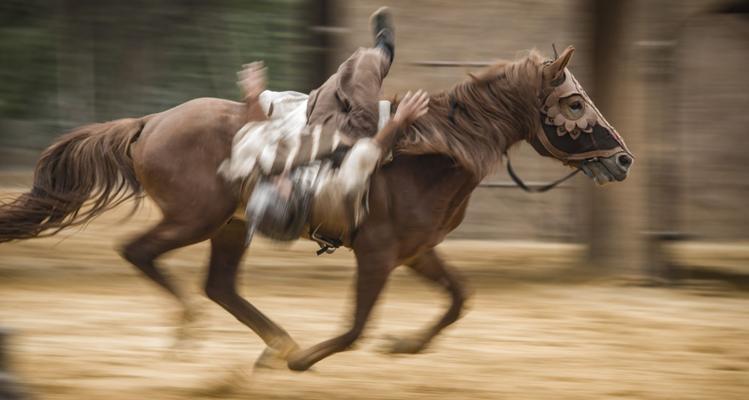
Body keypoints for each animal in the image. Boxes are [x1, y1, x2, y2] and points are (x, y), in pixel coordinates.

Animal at [0, 45, 632, 370]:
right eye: (575, 103)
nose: (624, 160)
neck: (428, 152)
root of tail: (150, 122)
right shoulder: (377, 254)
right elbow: (355, 327)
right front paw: (308, 361)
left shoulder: (416, 252)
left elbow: (458, 300)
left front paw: (403, 345)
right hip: (193, 219)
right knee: (139, 253)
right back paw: (197, 330)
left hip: (227, 227)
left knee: (219, 285)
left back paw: (275, 342)